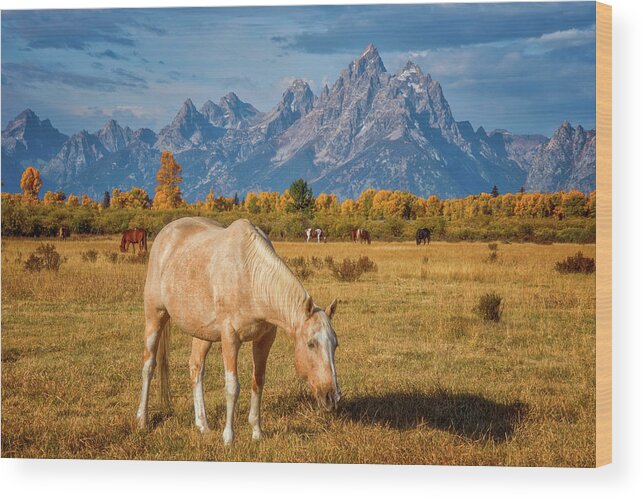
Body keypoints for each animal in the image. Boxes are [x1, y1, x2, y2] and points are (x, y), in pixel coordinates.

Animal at [136, 219, 342, 446]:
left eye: (335, 345)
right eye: (311, 344)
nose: (332, 397)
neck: (250, 277)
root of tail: (166, 233)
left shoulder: (264, 339)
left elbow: (258, 381)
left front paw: (257, 432)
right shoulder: (230, 338)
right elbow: (232, 387)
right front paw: (229, 438)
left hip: (202, 333)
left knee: (196, 368)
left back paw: (203, 426)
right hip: (155, 316)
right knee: (149, 365)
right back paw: (142, 420)